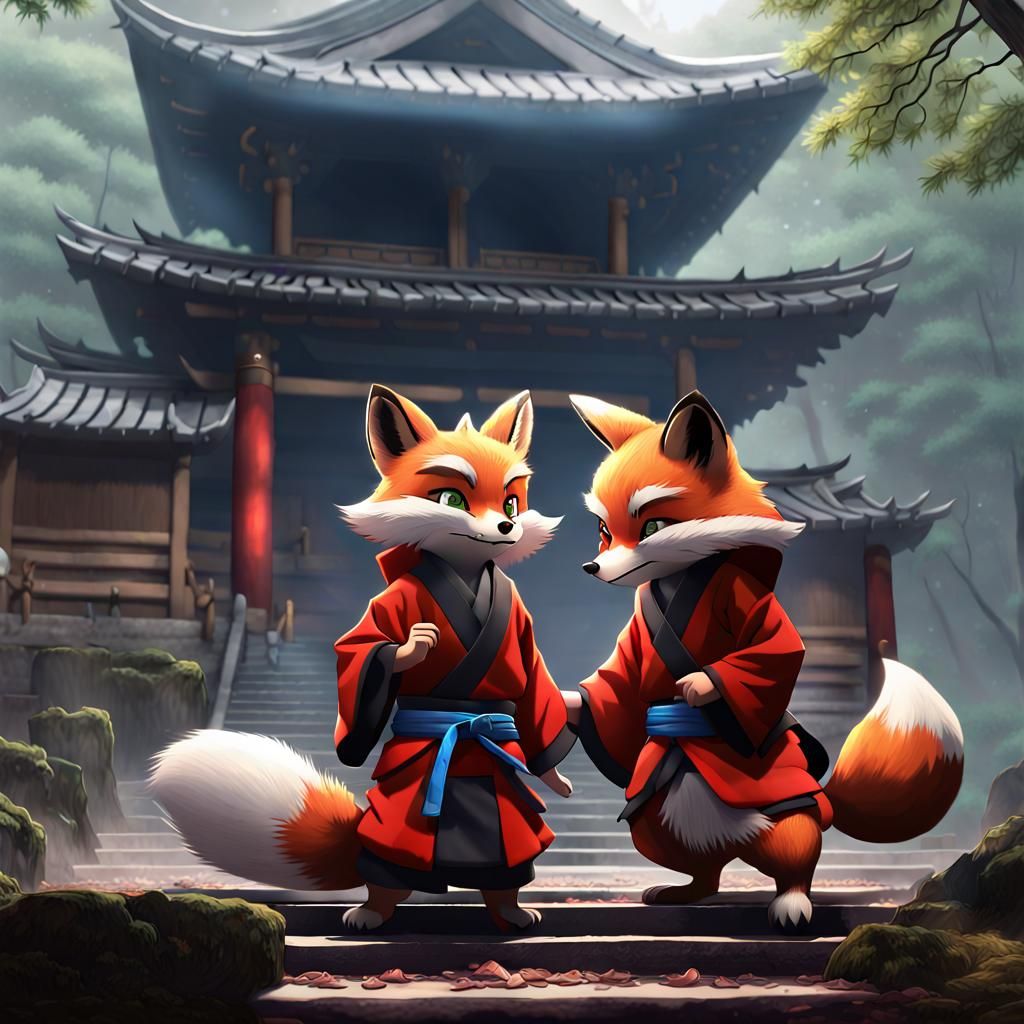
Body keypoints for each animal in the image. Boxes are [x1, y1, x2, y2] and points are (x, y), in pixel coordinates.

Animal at [151, 386, 574, 932]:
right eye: (452, 499)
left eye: (511, 502)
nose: (506, 525)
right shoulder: (385, 611)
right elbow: (363, 649)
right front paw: (413, 646)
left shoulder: (521, 629)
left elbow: (534, 692)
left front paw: (556, 777)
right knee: (386, 863)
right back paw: (372, 910)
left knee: (507, 860)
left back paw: (510, 908)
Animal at [563, 389, 963, 929]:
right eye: (604, 530)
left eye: (653, 526)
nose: (593, 567)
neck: (684, 572)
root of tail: (736, 842)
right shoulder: (634, 642)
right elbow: (617, 679)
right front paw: (570, 703)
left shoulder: (748, 602)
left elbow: (774, 649)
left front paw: (701, 685)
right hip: (655, 821)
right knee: (706, 873)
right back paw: (683, 891)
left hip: (787, 815)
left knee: (797, 856)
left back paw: (792, 902)